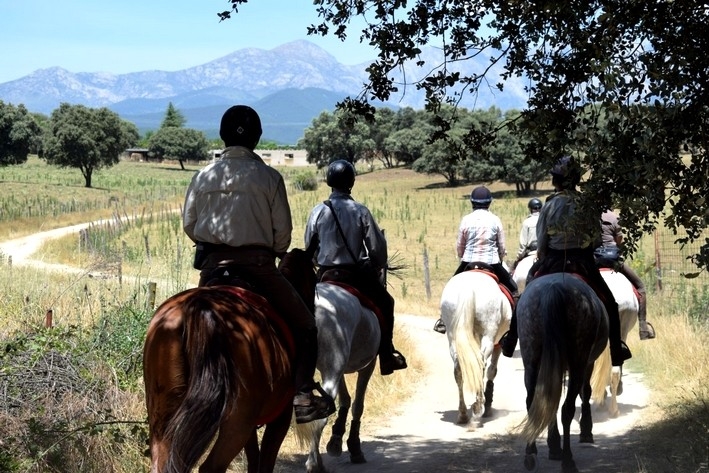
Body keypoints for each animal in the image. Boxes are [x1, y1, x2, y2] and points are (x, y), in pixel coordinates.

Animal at [144, 247, 316, 472]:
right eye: (315, 278)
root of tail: (200, 307)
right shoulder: (280, 418)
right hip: (237, 424)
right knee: (211, 467)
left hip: (162, 417)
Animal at [282, 249, 382, 470]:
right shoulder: (367, 365)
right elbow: (357, 404)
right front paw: (354, 447)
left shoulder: (339, 368)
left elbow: (345, 399)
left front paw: (336, 441)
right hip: (332, 370)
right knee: (319, 415)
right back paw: (314, 465)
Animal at [436, 268, 508, 426]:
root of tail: (468, 287)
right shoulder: (498, 343)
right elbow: (492, 371)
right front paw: (487, 406)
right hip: (488, 335)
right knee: (481, 364)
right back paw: (478, 408)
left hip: (453, 335)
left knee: (458, 369)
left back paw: (463, 414)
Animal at [516, 272, 608, 472]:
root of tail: (553, 288)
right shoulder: (587, 363)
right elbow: (585, 392)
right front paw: (585, 431)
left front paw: (553, 445)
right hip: (578, 361)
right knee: (568, 408)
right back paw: (568, 459)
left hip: (531, 359)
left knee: (534, 401)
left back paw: (530, 453)